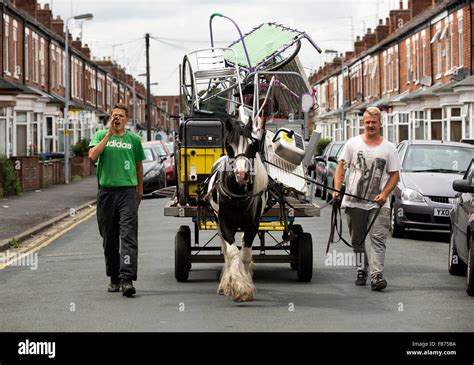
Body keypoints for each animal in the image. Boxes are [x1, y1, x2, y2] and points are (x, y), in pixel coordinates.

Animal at [206, 117, 268, 302]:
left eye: (252, 144)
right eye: (228, 145)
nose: (242, 175)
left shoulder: (252, 225)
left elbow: (245, 254)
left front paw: (246, 283)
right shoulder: (225, 223)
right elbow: (232, 252)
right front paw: (237, 286)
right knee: (226, 250)